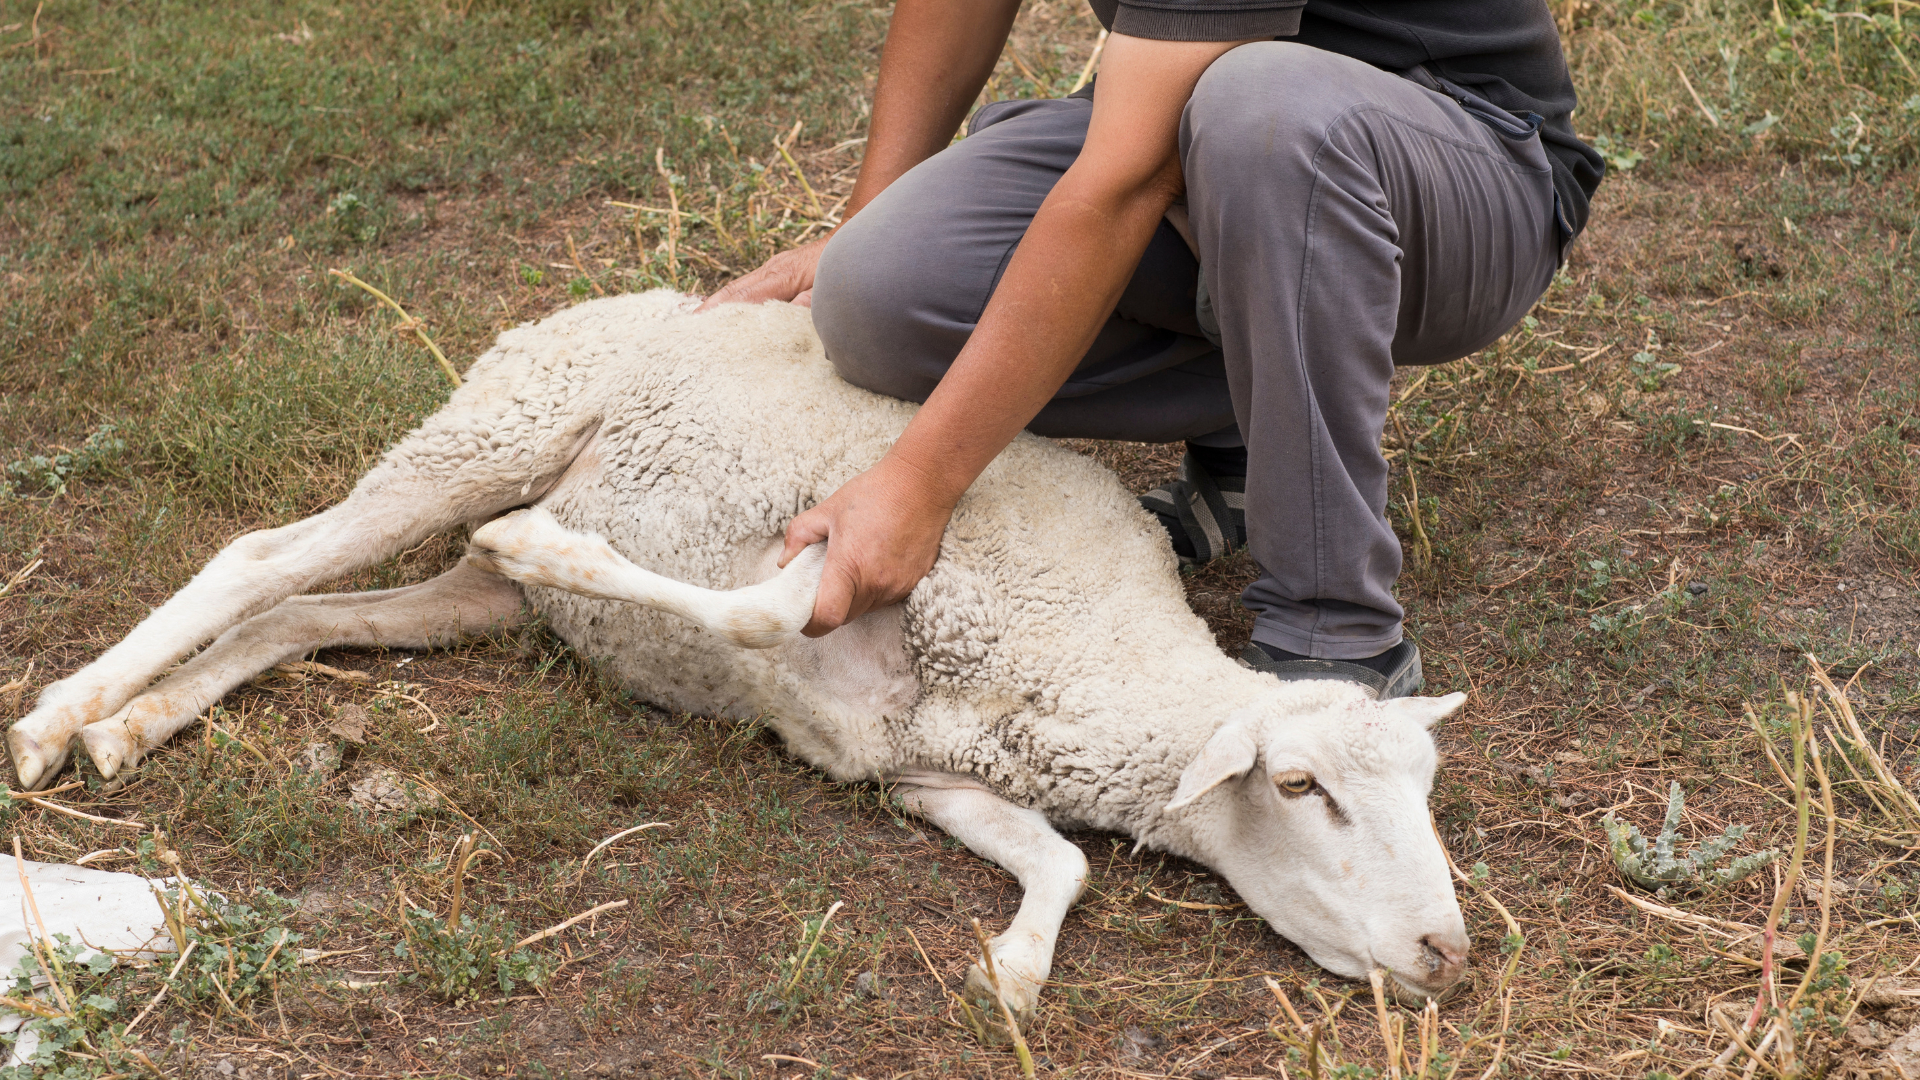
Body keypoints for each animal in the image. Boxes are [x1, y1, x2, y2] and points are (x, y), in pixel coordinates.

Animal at [7, 290, 1466, 1014]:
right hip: (491, 430)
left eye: (1426, 794)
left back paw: (134, 724)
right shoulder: (841, 569)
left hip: (471, 587)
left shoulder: (917, 765)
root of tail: (598, 301)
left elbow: (1059, 863)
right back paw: (61, 717)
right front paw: (558, 544)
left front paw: (1014, 970)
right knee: (263, 559)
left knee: (302, 615)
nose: (1450, 953)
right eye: (1303, 789)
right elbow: (759, 617)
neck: (1094, 648)